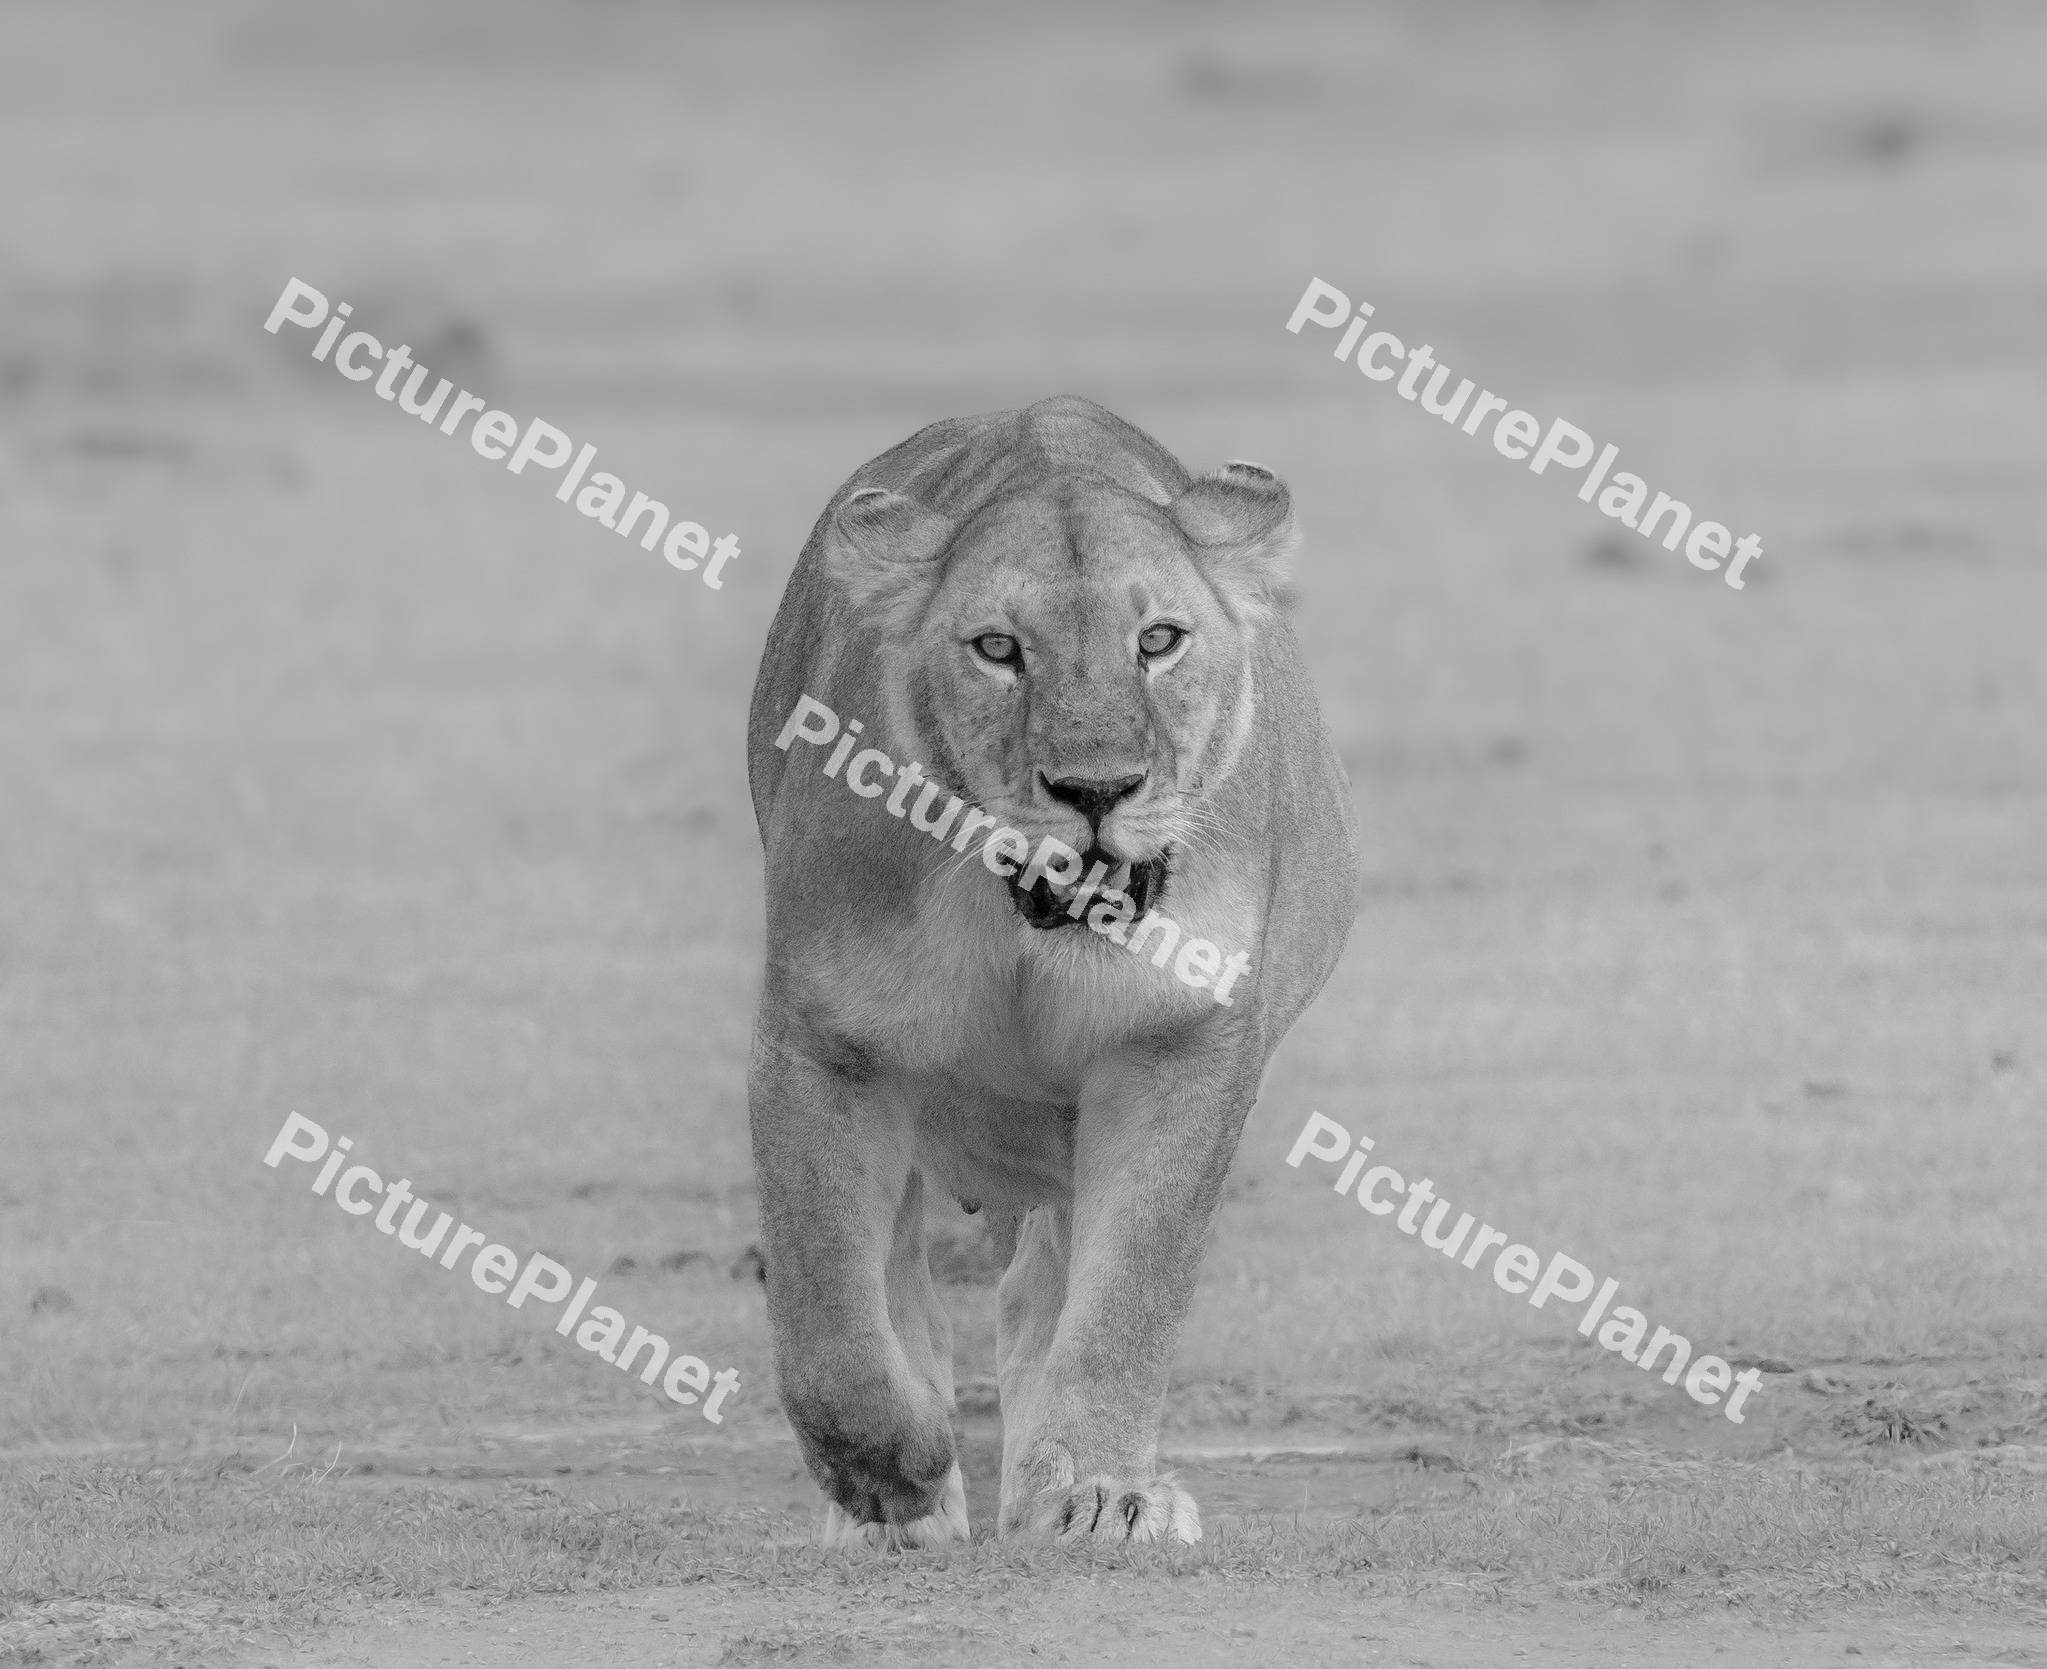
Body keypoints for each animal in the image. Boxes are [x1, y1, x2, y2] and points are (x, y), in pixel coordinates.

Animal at [745, 395, 1359, 1548]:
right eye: (998, 649)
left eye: (1157, 640)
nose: (1096, 787)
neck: (1023, 931)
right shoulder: (822, 1041)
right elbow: (826, 1309)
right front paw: (887, 1479)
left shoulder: (1178, 1040)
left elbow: (1127, 1294)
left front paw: (1099, 1491)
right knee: (902, 1280)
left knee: (1041, 1291)